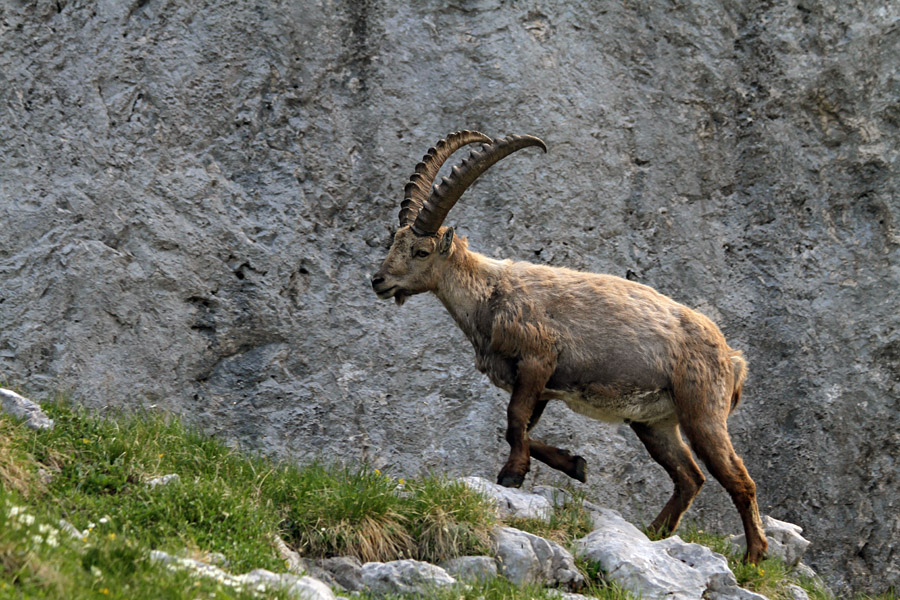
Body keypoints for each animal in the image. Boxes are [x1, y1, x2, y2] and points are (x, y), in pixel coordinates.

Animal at [371, 131, 768, 563]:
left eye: (421, 251)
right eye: (395, 242)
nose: (378, 281)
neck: (490, 295)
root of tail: (733, 358)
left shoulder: (537, 359)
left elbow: (514, 420)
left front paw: (512, 474)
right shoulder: (540, 386)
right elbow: (520, 428)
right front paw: (575, 464)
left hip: (702, 410)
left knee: (739, 479)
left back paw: (754, 556)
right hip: (655, 422)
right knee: (689, 476)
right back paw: (655, 531)